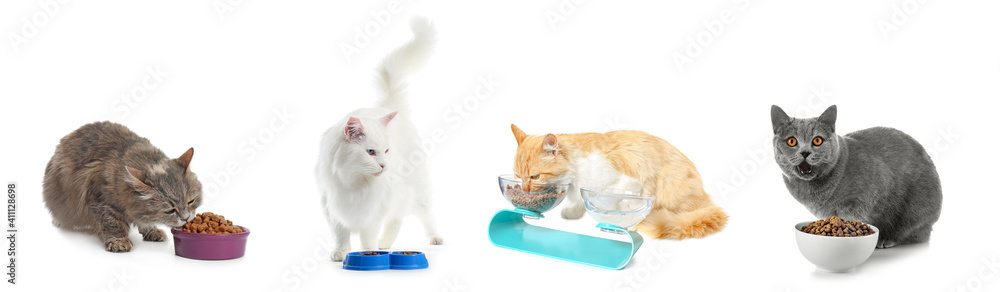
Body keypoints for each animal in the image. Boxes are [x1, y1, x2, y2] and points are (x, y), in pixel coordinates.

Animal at [43, 120, 202, 252]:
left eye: (191, 201)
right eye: (170, 210)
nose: (186, 218)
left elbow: (145, 222)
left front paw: (151, 231)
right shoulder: (101, 200)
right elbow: (113, 223)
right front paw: (118, 241)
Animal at [318, 17, 444, 262]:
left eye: (386, 151)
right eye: (370, 152)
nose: (384, 165)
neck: (353, 181)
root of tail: (386, 108)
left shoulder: (373, 210)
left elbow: (367, 235)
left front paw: (367, 252)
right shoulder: (333, 206)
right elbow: (340, 235)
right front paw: (341, 253)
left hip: (417, 190)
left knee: (425, 215)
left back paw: (433, 238)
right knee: (397, 219)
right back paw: (385, 244)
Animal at [508, 125, 728, 240]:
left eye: (535, 177)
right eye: (518, 176)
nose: (525, 190)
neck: (576, 166)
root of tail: (706, 200)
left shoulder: (626, 183)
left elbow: (611, 202)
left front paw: (617, 220)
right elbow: (581, 201)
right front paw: (574, 212)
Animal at [768, 105, 940, 249]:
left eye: (817, 140)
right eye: (791, 141)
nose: (804, 152)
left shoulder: (858, 201)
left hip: (915, 209)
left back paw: (886, 239)